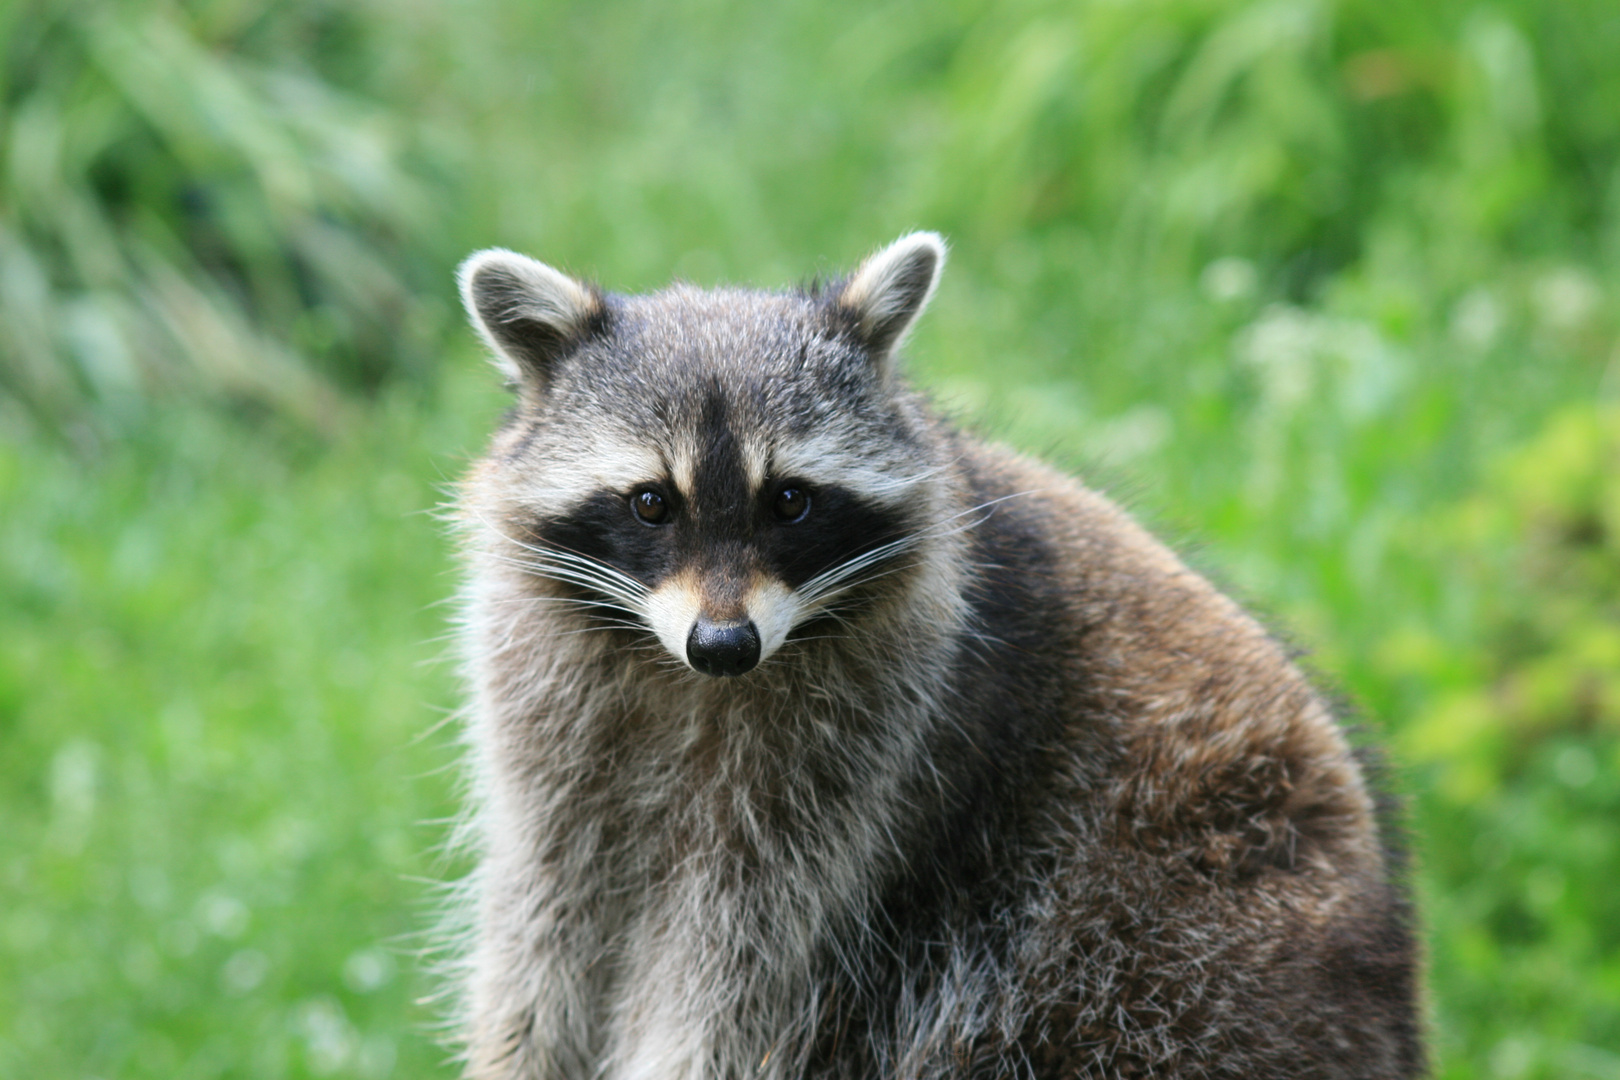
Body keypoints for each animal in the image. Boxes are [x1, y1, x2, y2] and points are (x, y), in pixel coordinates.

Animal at [450, 236, 1425, 1080]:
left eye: (790, 501)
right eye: (652, 503)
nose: (725, 646)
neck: (682, 676)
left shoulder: (865, 762)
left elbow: (736, 968)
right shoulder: (548, 720)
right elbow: (544, 922)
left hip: (1158, 952)